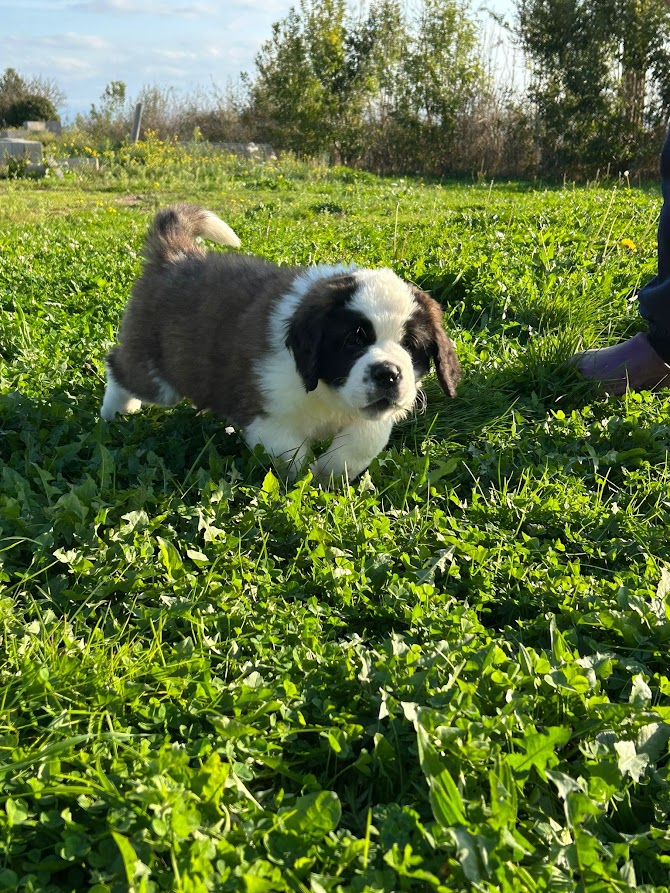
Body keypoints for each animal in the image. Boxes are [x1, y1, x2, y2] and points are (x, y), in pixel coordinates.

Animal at [102, 204, 462, 480]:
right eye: (353, 340)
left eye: (411, 346)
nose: (388, 374)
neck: (328, 394)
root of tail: (176, 256)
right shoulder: (266, 415)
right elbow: (292, 454)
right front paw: (303, 482)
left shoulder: (373, 417)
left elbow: (361, 444)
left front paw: (329, 475)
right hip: (159, 376)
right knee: (120, 367)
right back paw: (116, 411)